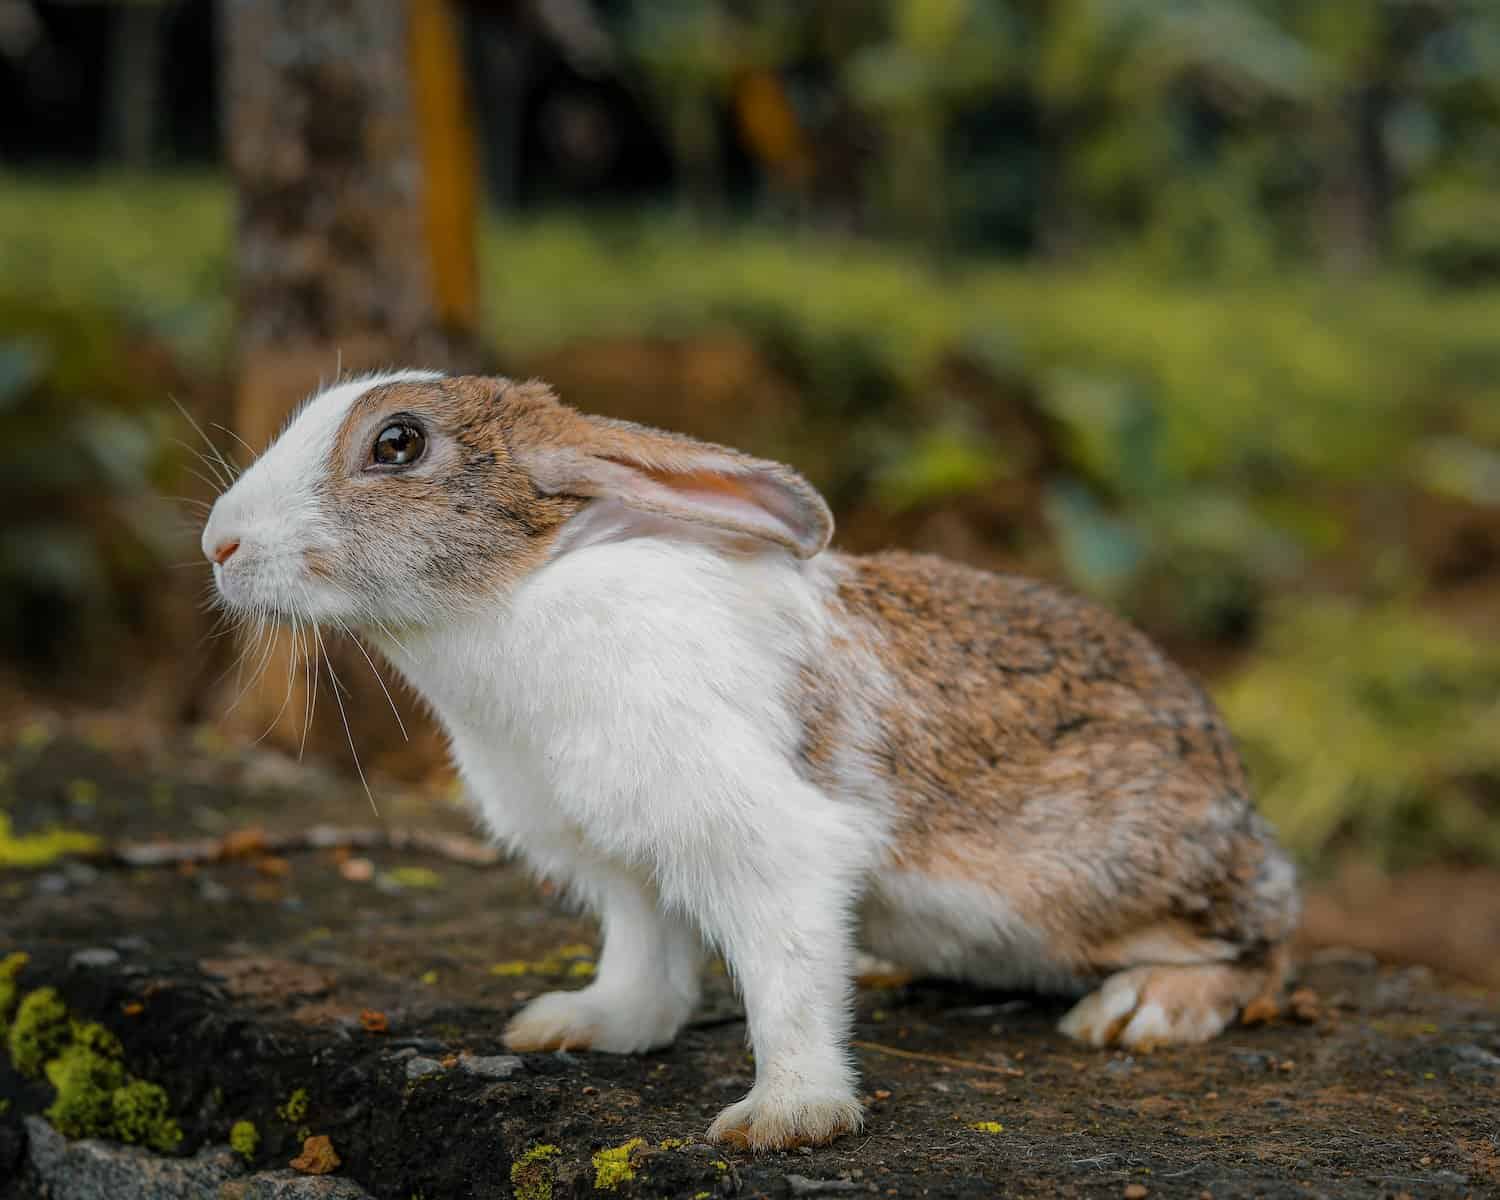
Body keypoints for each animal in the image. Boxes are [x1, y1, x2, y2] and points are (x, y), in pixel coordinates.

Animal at [201, 371, 1299, 1151]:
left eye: (398, 443)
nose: (219, 544)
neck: (516, 594)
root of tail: (1239, 803)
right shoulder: (624, 867)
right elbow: (646, 963)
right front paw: (579, 1025)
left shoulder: (762, 842)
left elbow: (787, 981)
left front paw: (787, 1119)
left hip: (1105, 885)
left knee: (1266, 951)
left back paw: (1142, 1011)